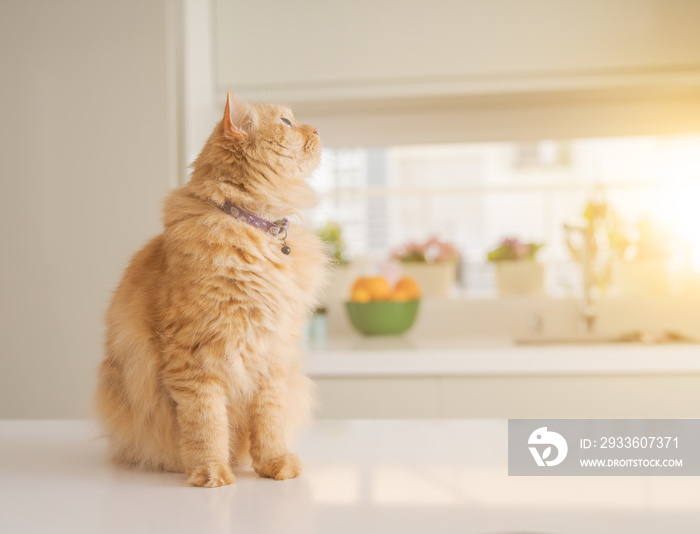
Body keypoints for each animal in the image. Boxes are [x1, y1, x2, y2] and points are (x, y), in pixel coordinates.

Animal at [94, 93, 326, 490]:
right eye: (285, 122)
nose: (316, 129)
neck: (258, 229)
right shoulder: (195, 357)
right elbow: (206, 423)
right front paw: (211, 472)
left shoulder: (273, 357)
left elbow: (270, 424)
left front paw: (275, 465)